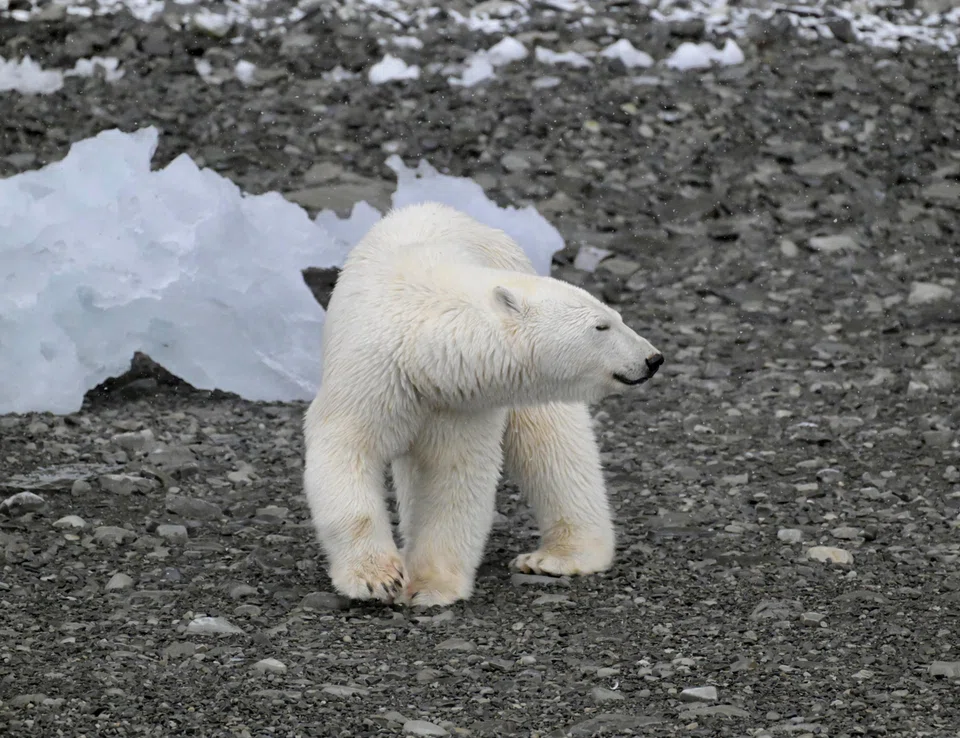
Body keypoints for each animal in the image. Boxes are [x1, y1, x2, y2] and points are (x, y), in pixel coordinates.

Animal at [302, 202, 664, 607]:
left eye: (617, 317)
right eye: (602, 326)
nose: (652, 358)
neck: (424, 351)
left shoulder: (462, 403)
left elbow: (454, 478)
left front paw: (430, 587)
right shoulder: (376, 377)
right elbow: (347, 450)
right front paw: (378, 578)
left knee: (552, 440)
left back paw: (559, 557)